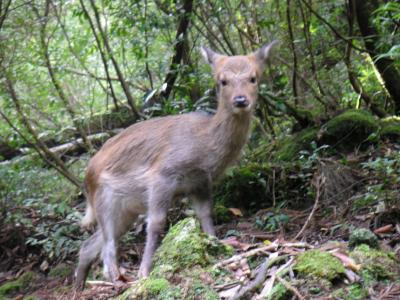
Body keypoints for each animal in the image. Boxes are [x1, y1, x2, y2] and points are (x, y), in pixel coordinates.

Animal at [73, 41, 276, 290]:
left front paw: (216, 246)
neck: (204, 147)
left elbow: (205, 215)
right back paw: (119, 281)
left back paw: (80, 287)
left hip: (125, 211)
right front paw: (145, 273)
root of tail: (86, 180)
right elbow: (156, 223)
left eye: (253, 78)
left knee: (90, 245)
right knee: (107, 248)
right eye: (222, 80)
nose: (240, 100)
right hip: (105, 200)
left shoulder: (201, 183)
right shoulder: (163, 174)